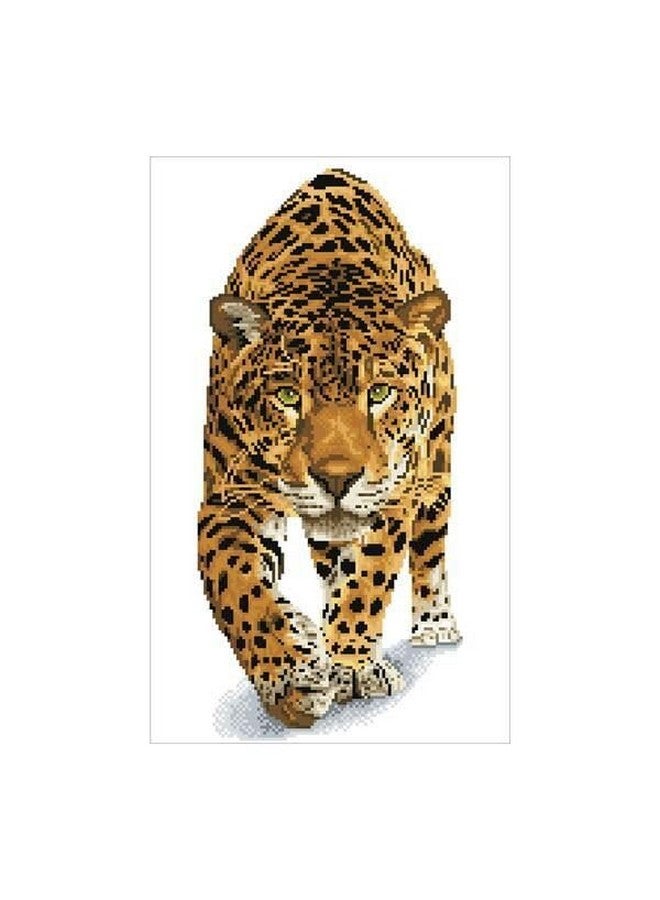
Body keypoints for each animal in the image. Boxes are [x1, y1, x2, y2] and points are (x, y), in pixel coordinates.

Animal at [198, 168, 460, 728]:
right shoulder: (230, 499)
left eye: (379, 394)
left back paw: (434, 622)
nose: (336, 478)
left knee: (430, 545)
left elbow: (370, 576)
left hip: (438, 467)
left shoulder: (394, 494)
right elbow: (236, 585)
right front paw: (291, 675)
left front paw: (351, 665)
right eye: (287, 396)